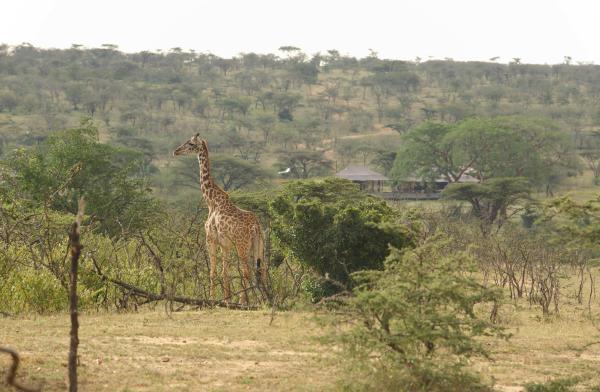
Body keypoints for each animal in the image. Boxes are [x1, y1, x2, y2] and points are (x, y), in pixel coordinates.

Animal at [173, 133, 268, 304]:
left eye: (190, 144)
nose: (176, 151)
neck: (211, 201)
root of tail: (256, 226)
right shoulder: (225, 244)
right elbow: (225, 272)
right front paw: (226, 299)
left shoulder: (210, 238)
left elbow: (213, 271)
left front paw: (212, 300)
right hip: (259, 245)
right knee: (261, 270)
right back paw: (264, 300)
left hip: (242, 246)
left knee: (246, 271)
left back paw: (243, 301)